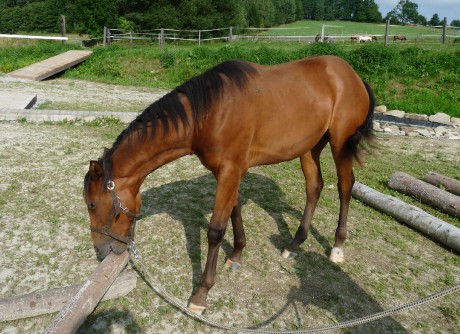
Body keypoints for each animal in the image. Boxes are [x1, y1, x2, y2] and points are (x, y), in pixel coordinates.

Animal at [84, 54, 376, 314]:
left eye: (92, 204)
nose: (100, 249)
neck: (209, 112)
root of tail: (351, 75)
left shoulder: (229, 170)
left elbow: (215, 230)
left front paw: (201, 295)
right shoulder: (227, 172)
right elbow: (234, 210)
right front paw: (237, 254)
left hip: (340, 144)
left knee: (345, 186)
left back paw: (337, 247)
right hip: (310, 148)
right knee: (314, 187)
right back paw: (294, 244)